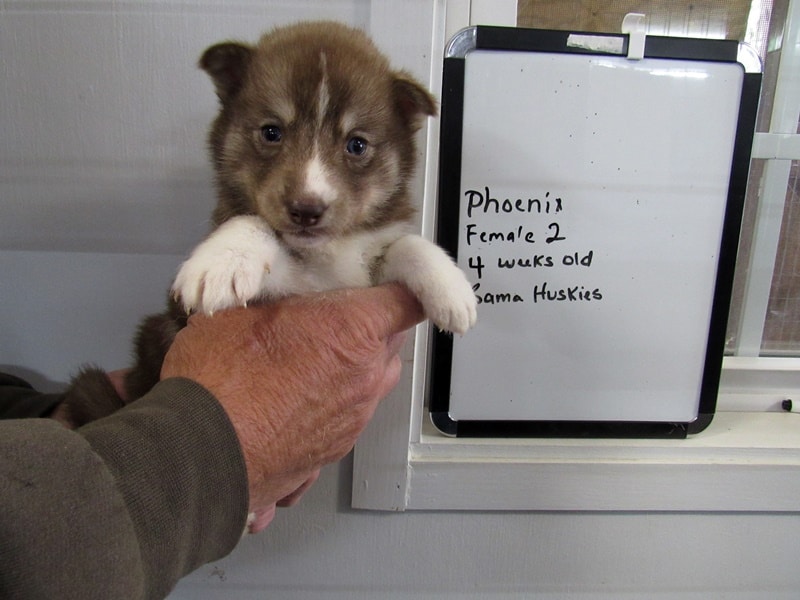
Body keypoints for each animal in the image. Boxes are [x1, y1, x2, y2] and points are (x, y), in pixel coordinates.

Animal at [58, 21, 476, 427]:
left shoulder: (360, 276)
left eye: (356, 145)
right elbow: (251, 222)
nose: (307, 210)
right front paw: (221, 263)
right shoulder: (285, 289)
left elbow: (405, 244)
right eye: (271, 132)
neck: (325, 254)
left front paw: (453, 290)